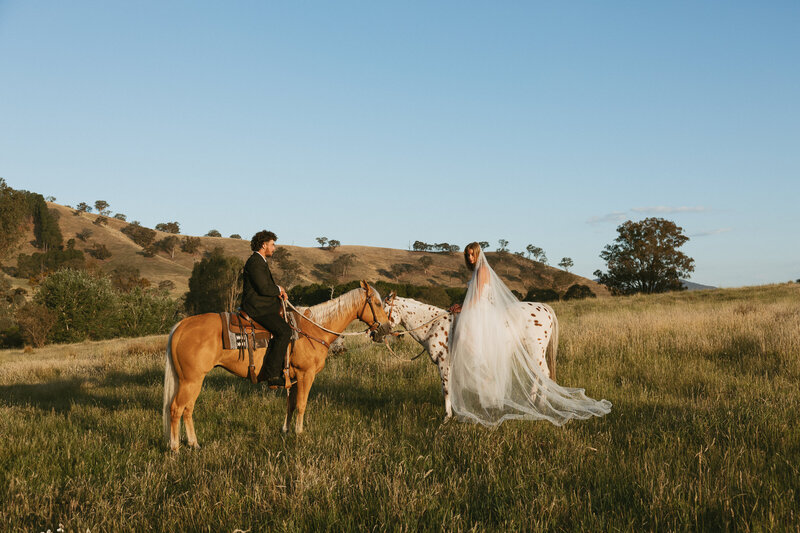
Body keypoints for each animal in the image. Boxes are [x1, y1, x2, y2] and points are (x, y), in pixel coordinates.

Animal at [163, 278, 390, 448]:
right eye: (378, 304)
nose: (387, 328)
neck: (313, 329)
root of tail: (181, 326)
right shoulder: (306, 375)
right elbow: (301, 404)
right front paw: (299, 433)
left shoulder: (294, 378)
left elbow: (291, 405)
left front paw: (287, 431)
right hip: (191, 380)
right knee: (176, 408)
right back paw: (175, 448)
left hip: (192, 381)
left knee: (187, 409)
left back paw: (193, 444)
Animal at [384, 294, 560, 418]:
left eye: (385, 311)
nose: (378, 331)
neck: (435, 325)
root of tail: (543, 307)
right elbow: (455, 387)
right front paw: (461, 410)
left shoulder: (444, 363)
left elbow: (446, 389)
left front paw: (447, 416)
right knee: (536, 374)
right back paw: (531, 402)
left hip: (535, 350)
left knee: (544, 373)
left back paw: (541, 405)